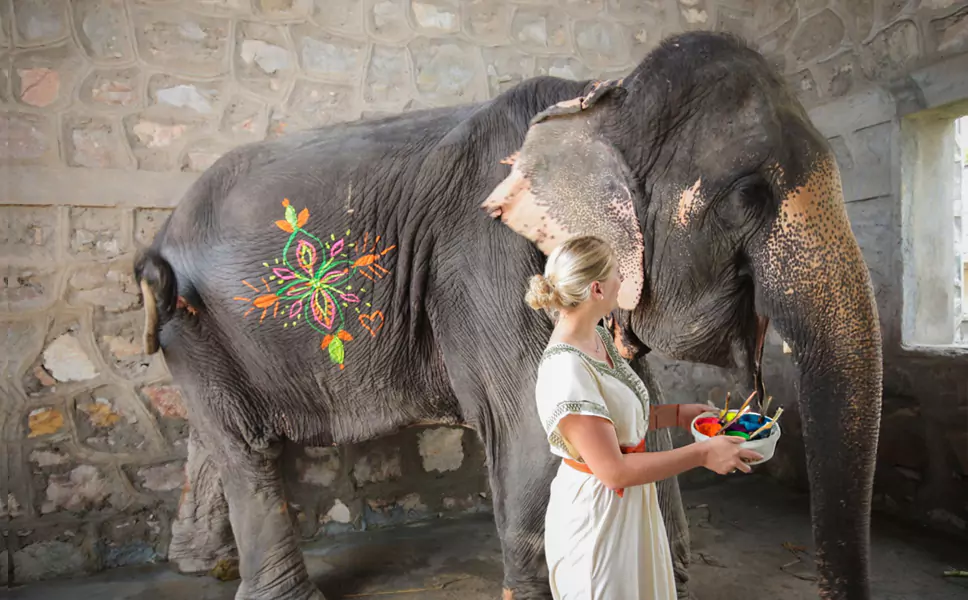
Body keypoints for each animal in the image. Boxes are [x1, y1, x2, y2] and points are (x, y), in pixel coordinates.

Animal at [135, 31, 882, 600]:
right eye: (751, 194)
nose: (755, 405)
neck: (597, 101)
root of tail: (159, 238)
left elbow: (645, 414)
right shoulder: (487, 262)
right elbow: (535, 433)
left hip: (201, 333)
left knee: (218, 439)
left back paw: (198, 562)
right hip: (197, 326)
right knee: (247, 451)